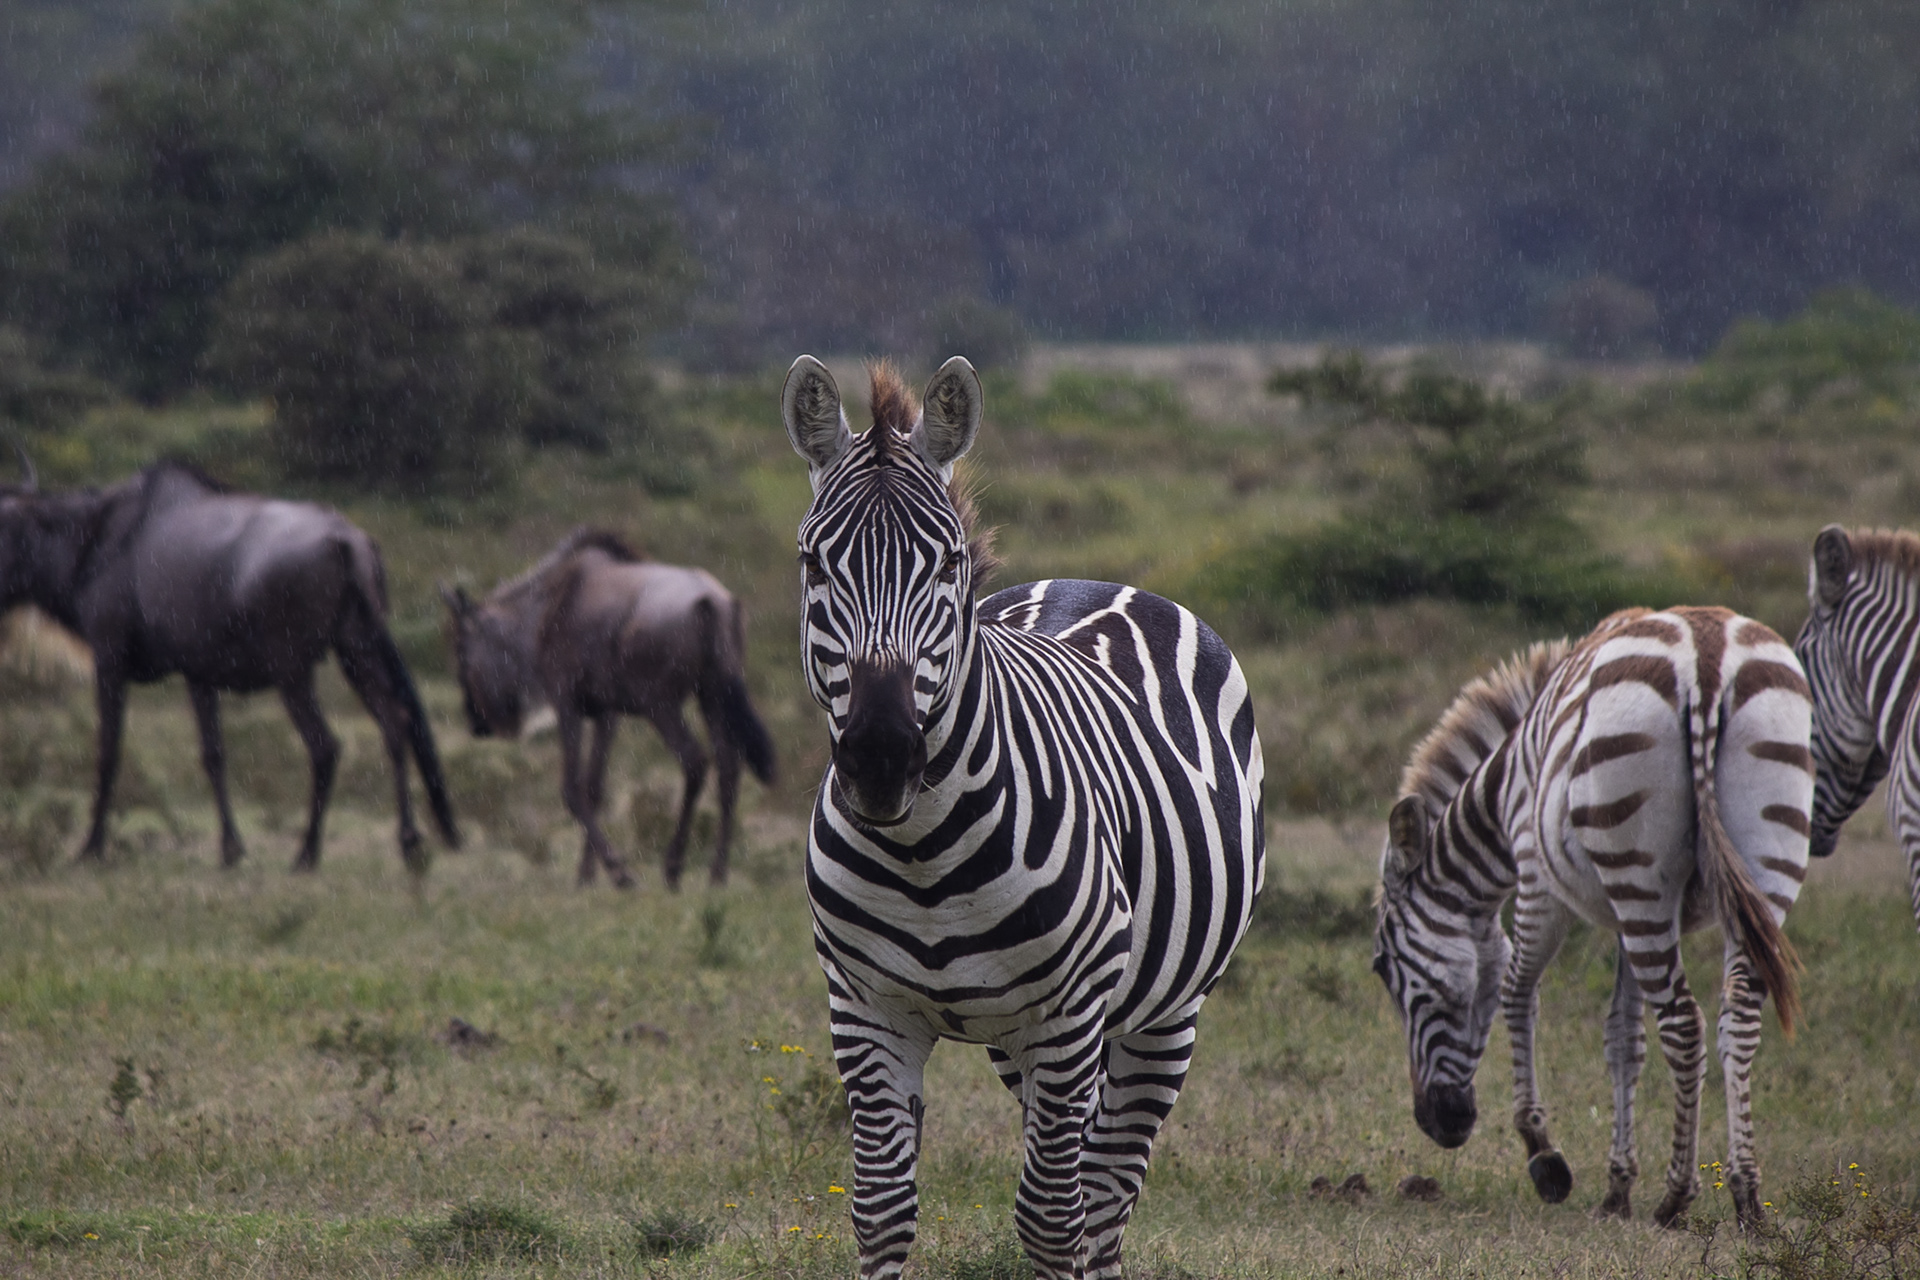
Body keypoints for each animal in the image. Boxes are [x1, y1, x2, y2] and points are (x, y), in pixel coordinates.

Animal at [0, 456, 459, 871]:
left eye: (4, 525)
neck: (98, 541)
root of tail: (344, 540)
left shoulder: (110, 663)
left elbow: (108, 751)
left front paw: (91, 847)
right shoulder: (198, 675)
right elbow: (213, 755)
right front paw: (231, 848)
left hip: (293, 672)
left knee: (325, 746)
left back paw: (307, 852)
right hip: (356, 652)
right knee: (395, 723)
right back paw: (408, 841)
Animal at [441, 528, 776, 888]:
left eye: (460, 649)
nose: (476, 722)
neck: (546, 608)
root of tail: (712, 602)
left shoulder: (567, 705)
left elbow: (571, 790)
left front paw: (618, 871)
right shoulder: (606, 713)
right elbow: (594, 789)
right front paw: (587, 875)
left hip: (661, 704)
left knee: (695, 761)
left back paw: (673, 868)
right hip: (713, 696)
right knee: (729, 768)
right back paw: (717, 875)